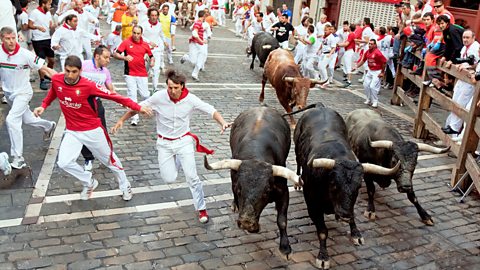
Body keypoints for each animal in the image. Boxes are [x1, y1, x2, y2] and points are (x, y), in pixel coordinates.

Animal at [203, 107, 300, 258]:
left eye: (266, 191)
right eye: (239, 189)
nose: (247, 222)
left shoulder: (284, 192)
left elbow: (282, 220)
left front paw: (285, 247)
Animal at [292, 103, 402, 268]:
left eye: (358, 187)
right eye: (333, 184)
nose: (343, 214)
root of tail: (320, 106)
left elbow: (353, 216)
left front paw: (356, 233)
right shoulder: (312, 205)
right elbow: (323, 231)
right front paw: (323, 257)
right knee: (298, 162)